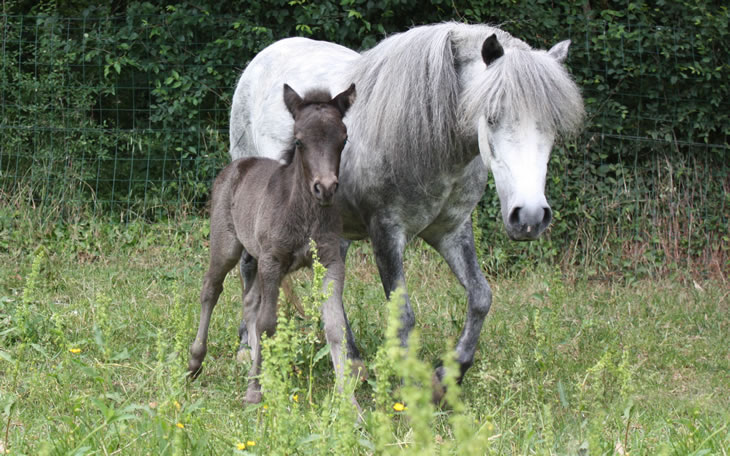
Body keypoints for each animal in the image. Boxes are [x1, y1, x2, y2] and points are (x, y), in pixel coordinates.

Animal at [188, 83, 356, 404]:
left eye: (343, 139)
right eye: (299, 141)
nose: (325, 188)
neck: (304, 213)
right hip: (227, 246)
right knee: (210, 289)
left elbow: (335, 326)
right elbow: (268, 323)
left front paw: (349, 403)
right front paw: (254, 393)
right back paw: (195, 361)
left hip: (255, 256)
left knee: (250, 300)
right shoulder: (273, 260)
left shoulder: (330, 261)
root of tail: (237, 164)